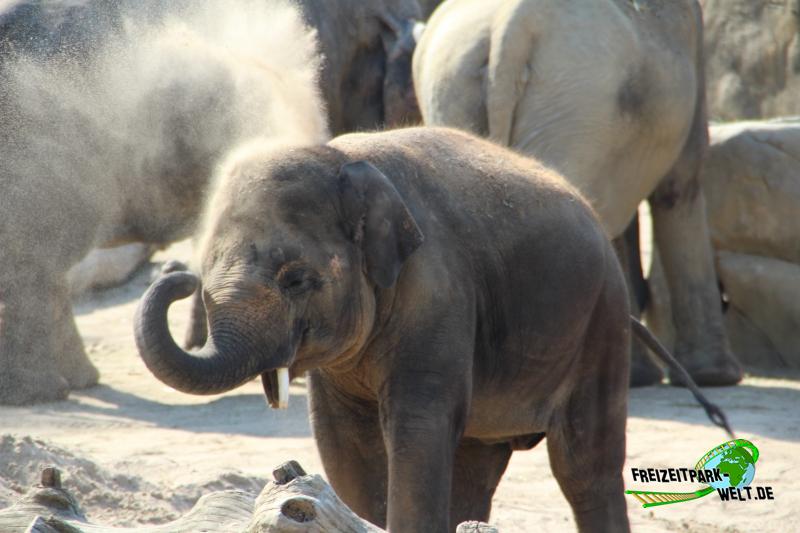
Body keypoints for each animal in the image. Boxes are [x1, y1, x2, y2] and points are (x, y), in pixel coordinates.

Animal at [138, 127, 676, 528]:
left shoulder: (438, 292)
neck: (341, 157)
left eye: (296, 280)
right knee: (477, 465)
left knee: (585, 468)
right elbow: (344, 441)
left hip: (601, 322)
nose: (177, 276)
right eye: (208, 270)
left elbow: (418, 429)